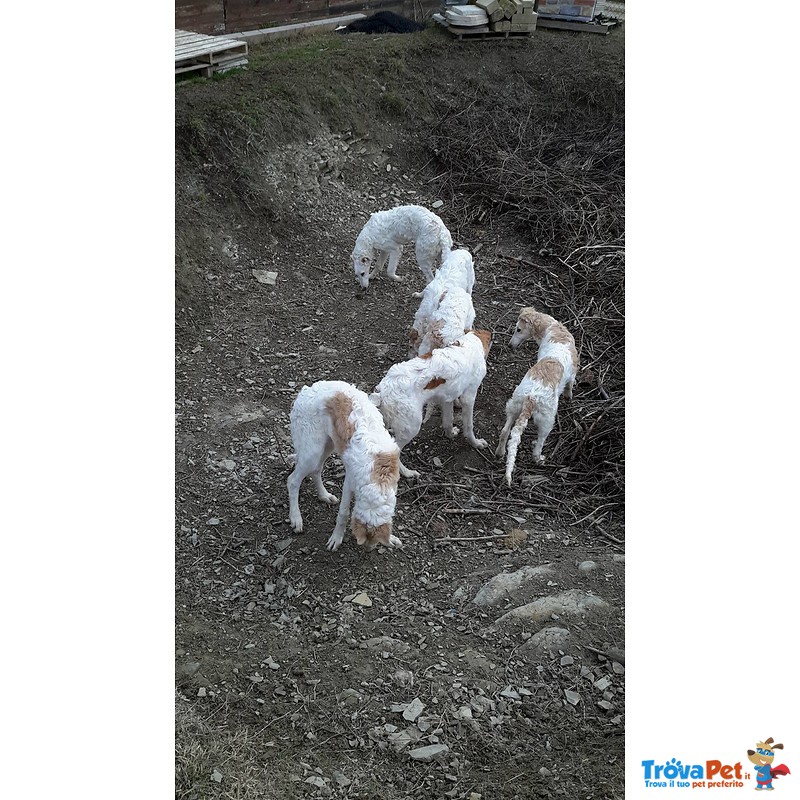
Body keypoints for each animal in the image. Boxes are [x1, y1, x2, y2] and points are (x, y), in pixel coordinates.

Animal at [284, 382, 404, 552]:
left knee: (316, 471)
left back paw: (324, 496)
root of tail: (305, 389)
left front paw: (391, 538)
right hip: (312, 453)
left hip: (328, 445)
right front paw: (336, 538)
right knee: (293, 481)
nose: (368, 550)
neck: (379, 478)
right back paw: (296, 518)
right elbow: (343, 513)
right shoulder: (349, 482)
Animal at [370, 328, 494, 478]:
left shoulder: (447, 398)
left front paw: (451, 434)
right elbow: (469, 426)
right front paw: (476, 443)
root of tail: (382, 391)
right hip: (412, 427)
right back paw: (408, 473)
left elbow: (448, 421)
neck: (469, 345)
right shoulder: (469, 397)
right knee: (395, 450)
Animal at [496, 306, 580, 484]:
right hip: (547, 420)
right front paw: (569, 396)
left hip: (513, 407)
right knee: (538, 445)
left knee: (505, 432)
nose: (510, 345)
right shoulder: (573, 372)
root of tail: (531, 398)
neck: (553, 328)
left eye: (518, 329)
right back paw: (539, 459)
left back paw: (499, 453)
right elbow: (570, 385)